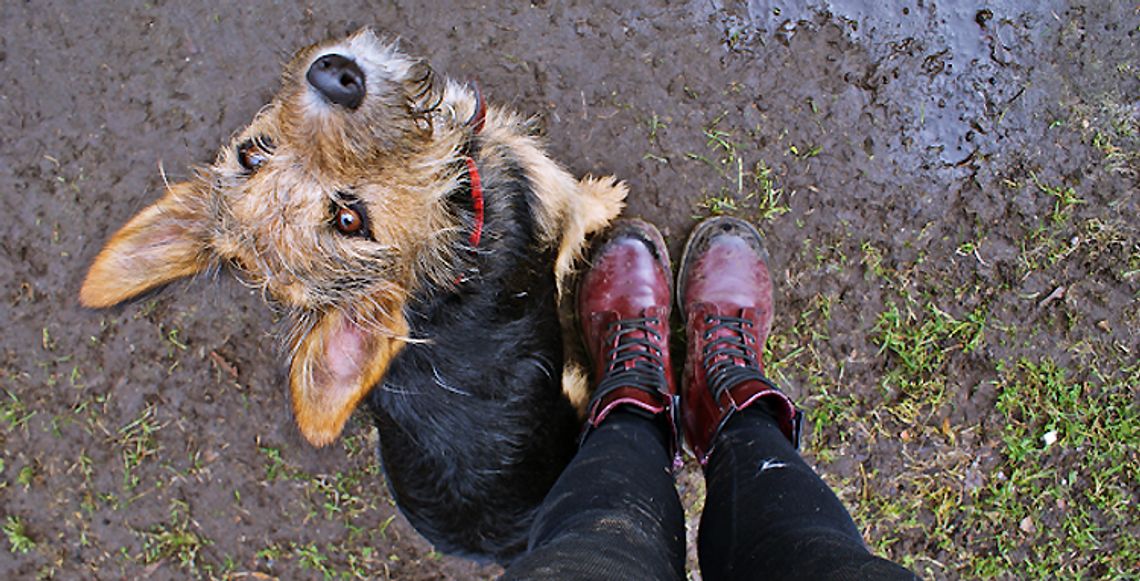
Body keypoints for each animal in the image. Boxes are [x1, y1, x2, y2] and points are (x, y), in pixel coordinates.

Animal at [82, 29, 624, 560]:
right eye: (351, 218)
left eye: (252, 153)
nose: (334, 75)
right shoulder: (559, 203)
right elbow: (584, 207)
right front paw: (608, 195)